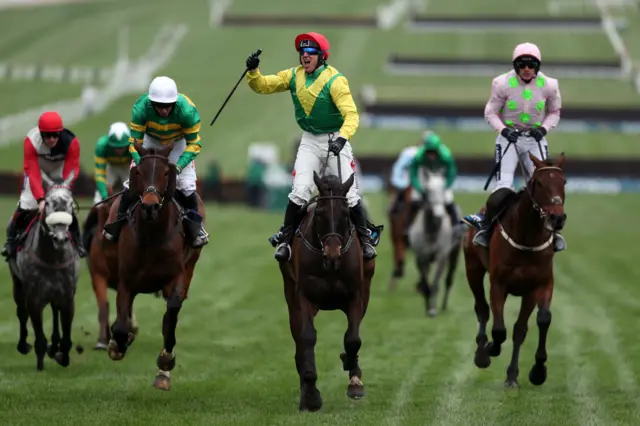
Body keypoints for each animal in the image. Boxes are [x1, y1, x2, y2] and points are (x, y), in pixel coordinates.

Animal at [9, 171, 79, 372]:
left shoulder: (67, 296)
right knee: (21, 312)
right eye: (47, 203)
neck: (52, 258)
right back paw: (23, 345)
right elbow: (38, 335)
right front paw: (40, 363)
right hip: (17, 284)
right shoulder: (34, 298)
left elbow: (66, 337)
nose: (60, 238)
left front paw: (61, 355)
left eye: (70, 204)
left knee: (54, 311)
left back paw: (54, 345)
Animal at [106, 141, 204, 392]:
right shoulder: (126, 281)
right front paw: (117, 345)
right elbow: (121, 326)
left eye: (166, 173)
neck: (152, 236)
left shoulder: (176, 279)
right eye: (139, 172)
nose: (150, 206)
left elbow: (171, 318)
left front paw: (165, 362)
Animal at [280, 171, 376, 412]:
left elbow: (353, 339)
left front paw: (353, 376)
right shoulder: (302, 298)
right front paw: (310, 396)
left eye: (346, 213)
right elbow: (306, 337)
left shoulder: (356, 296)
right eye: (320, 214)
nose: (332, 253)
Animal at [408, 170, 462, 316]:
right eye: (428, 189)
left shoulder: (441, 256)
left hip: (455, 254)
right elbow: (425, 282)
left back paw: (443, 306)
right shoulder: (421, 258)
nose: (438, 215)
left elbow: (436, 283)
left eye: (443, 188)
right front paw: (428, 308)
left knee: (449, 280)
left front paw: (433, 310)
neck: (432, 231)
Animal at [462, 153, 568, 390]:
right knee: (482, 309)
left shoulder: (538, 285)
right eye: (539, 183)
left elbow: (534, 323)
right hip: (472, 268)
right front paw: (491, 349)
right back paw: (482, 352)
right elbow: (499, 330)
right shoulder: (498, 284)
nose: (557, 218)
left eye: (564, 182)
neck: (526, 239)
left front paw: (535, 371)